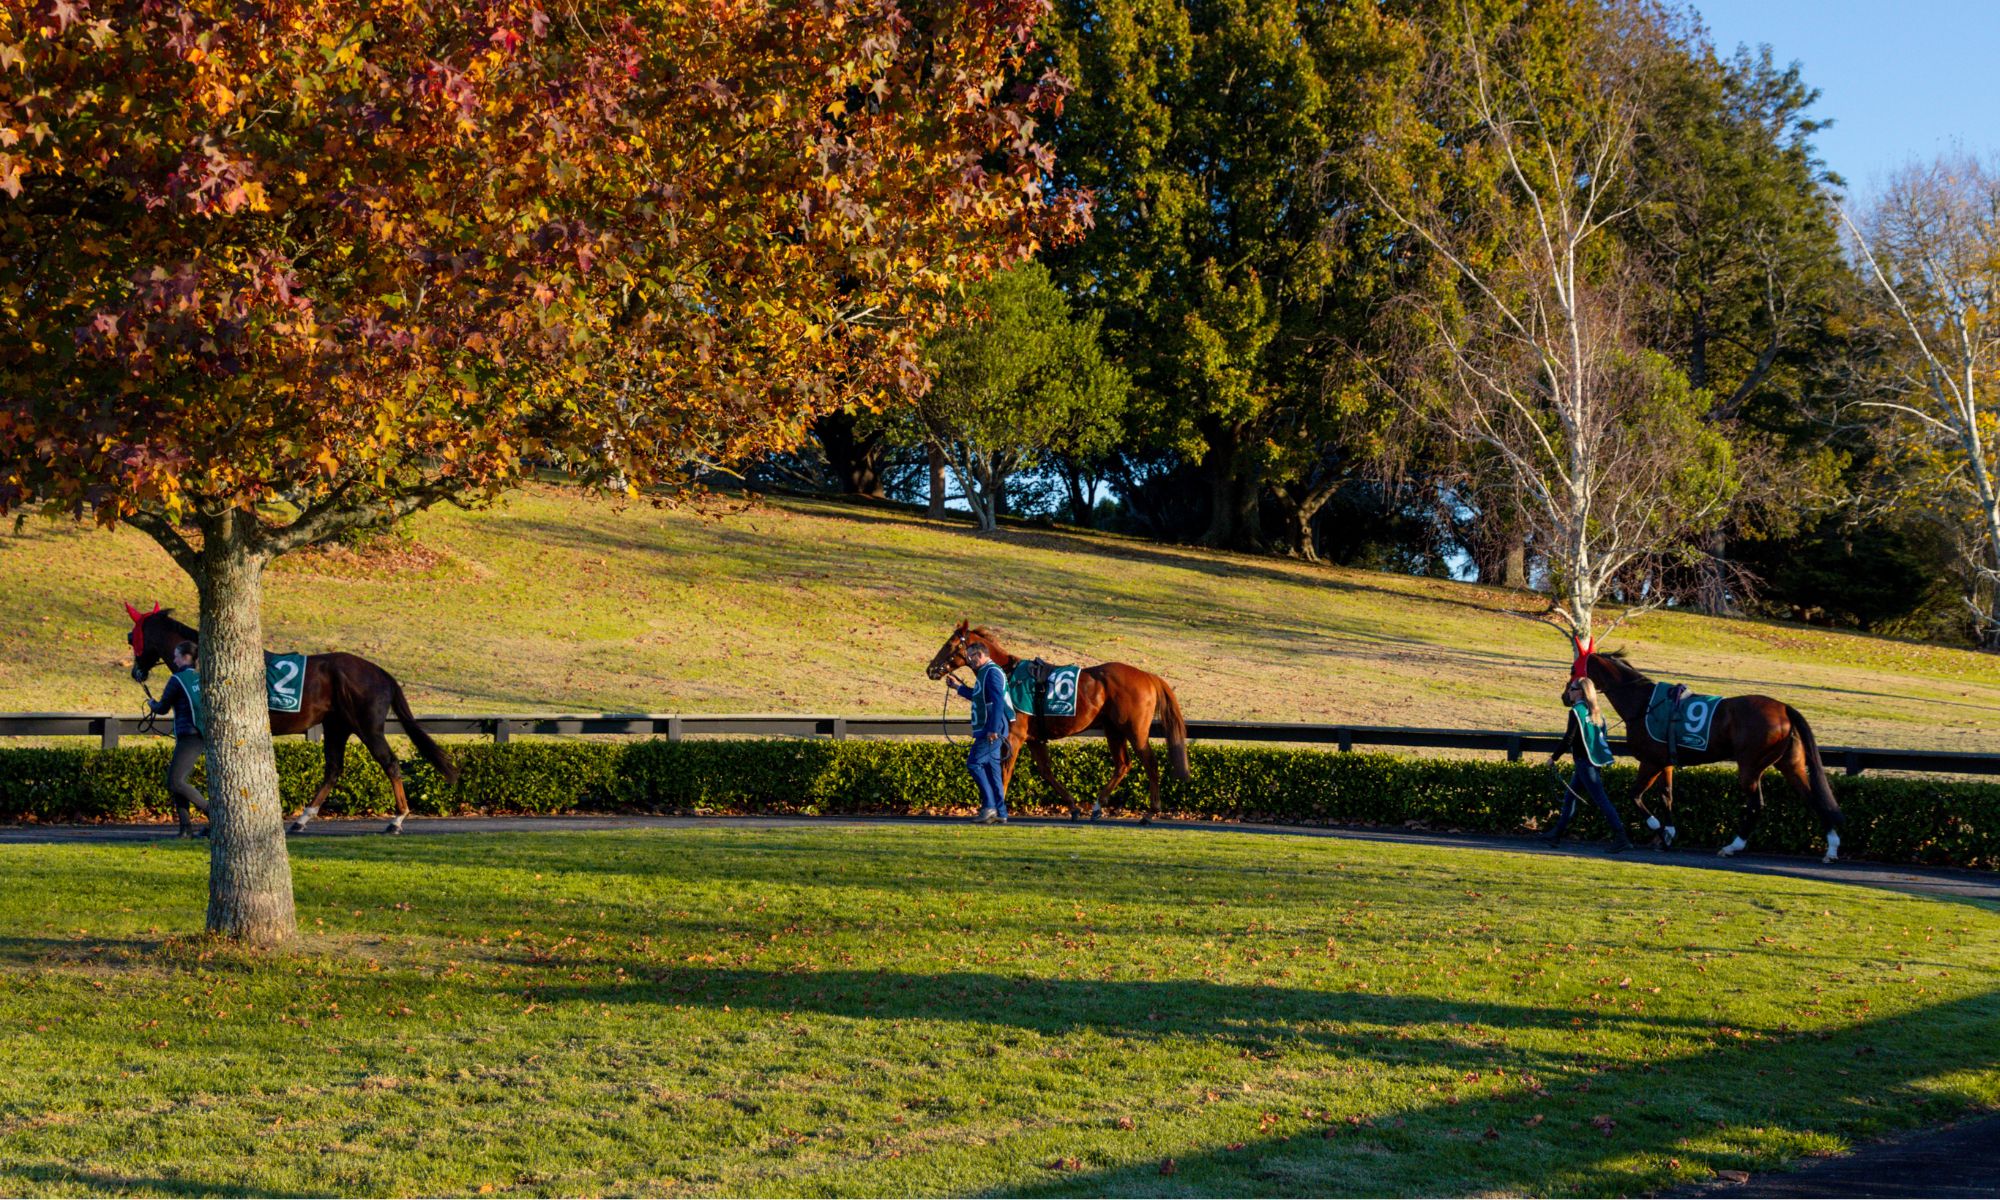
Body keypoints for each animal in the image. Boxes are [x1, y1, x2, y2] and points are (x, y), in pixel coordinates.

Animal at [123, 600, 458, 836]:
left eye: (131, 637)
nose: (136, 672)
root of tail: (381, 672)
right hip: (337, 726)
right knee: (333, 769)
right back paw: (302, 819)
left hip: (367, 727)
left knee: (389, 763)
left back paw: (397, 819)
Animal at [920, 624, 1184, 820]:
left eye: (949, 644)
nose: (930, 669)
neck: (1007, 674)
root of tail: (1147, 676)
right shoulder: (1034, 739)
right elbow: (1046, 772)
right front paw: (1074, 807)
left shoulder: (1014, 736)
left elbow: (1005, 771)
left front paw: (997, 809)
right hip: (1113, 730)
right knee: (1123, 764)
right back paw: (1098, 805)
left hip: (1134, 730)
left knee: (1150, 763)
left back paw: (1151, 811)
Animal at [1576, 636, 1840, 864]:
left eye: (1573, 670)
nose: (1568, 695)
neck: (1643, 704)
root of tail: (1784, 708)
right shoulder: (1665, 762)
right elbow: (1667, 796)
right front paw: (1668, 833)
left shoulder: (1650, 761)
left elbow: (1635, 795)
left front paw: (1659, 831)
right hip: (1790, 764)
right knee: (1812, 798)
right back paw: (1831, 848)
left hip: (1750, 766)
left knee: (1756, 805)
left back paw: (1732, 846)